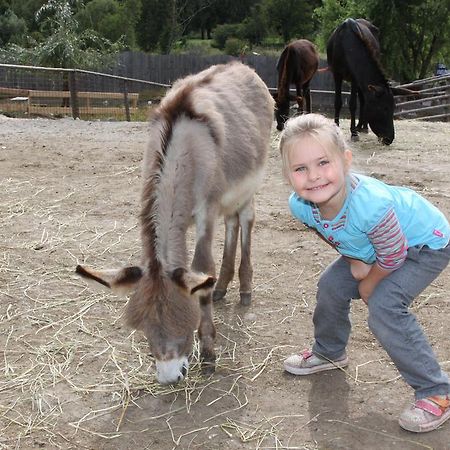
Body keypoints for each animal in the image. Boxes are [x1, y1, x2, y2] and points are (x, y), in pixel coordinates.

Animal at [75, 62, 272, 384]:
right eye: (144, 328)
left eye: (184, 318)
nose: (169, 377)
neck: (182, 153)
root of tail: (239, 65)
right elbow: (204, 272)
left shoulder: (206, 212)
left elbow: (203, 267)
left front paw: (208, 352)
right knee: (232, 223)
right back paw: (222, 287)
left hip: (248, 184)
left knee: (245, 220)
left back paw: (244, 288)